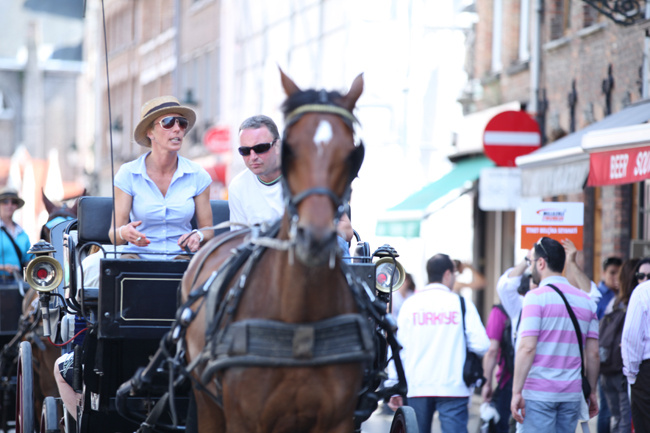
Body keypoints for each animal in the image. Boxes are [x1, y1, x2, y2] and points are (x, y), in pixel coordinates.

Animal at [180, 71, 368, 432]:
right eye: (291, 149)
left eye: (353, 154)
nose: (315, 238)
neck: (299, 319)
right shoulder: (243, 418)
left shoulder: (339, 418)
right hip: (205, 398)